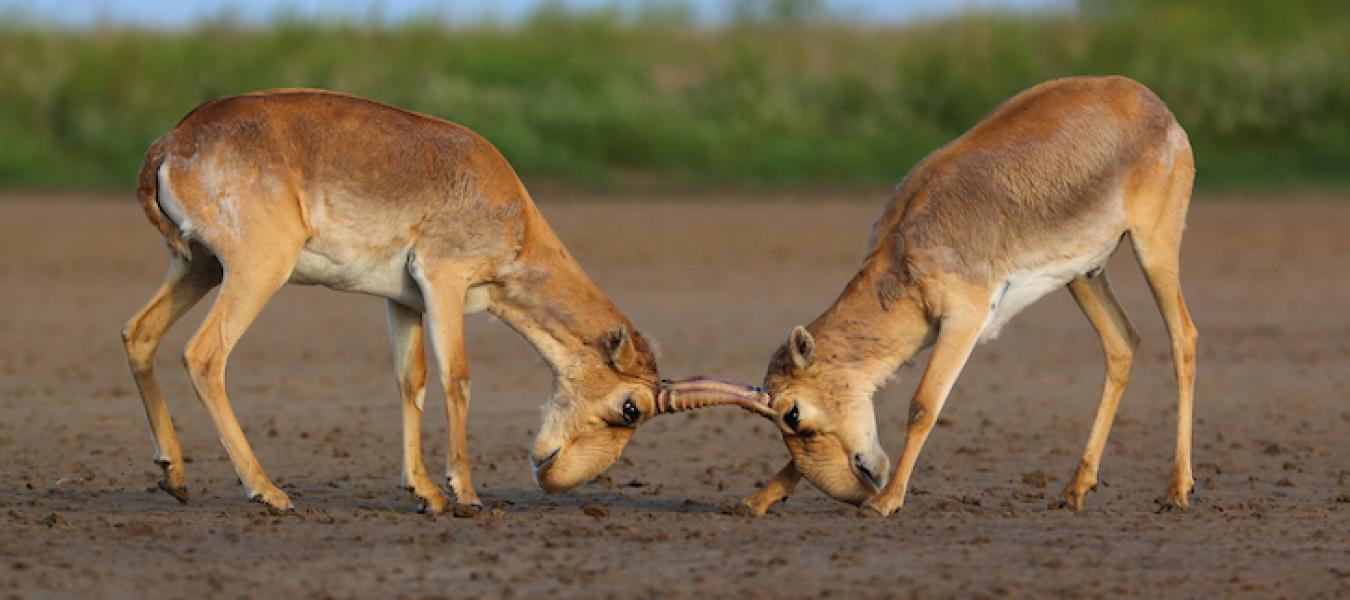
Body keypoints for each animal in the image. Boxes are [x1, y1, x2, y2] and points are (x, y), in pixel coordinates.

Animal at [120, 89, 723, 510]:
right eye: (631, 408)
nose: (552, 477)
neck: (510, 208)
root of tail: (173, 141)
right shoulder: (445, 281)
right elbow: (457, 377)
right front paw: (466, 494)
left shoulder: (404, 302)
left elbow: (412, 381)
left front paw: (425, 493)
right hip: (255, 272)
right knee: (204, 356)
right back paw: (268, 491)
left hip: (198, 266)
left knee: (138, 333)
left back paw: (174, 474)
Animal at [669, 75, 1198, 516]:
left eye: (793, 414)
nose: (857, 488)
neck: (908, 241)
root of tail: (1158, 108)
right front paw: (757, 500)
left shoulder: (964, 321)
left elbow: (923, 405)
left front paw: (886, 502)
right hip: (1084, 274)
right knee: (1123, 343)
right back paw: (1074, 489)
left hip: (1154, 248)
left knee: (1183, 338)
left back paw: (1176, 490)